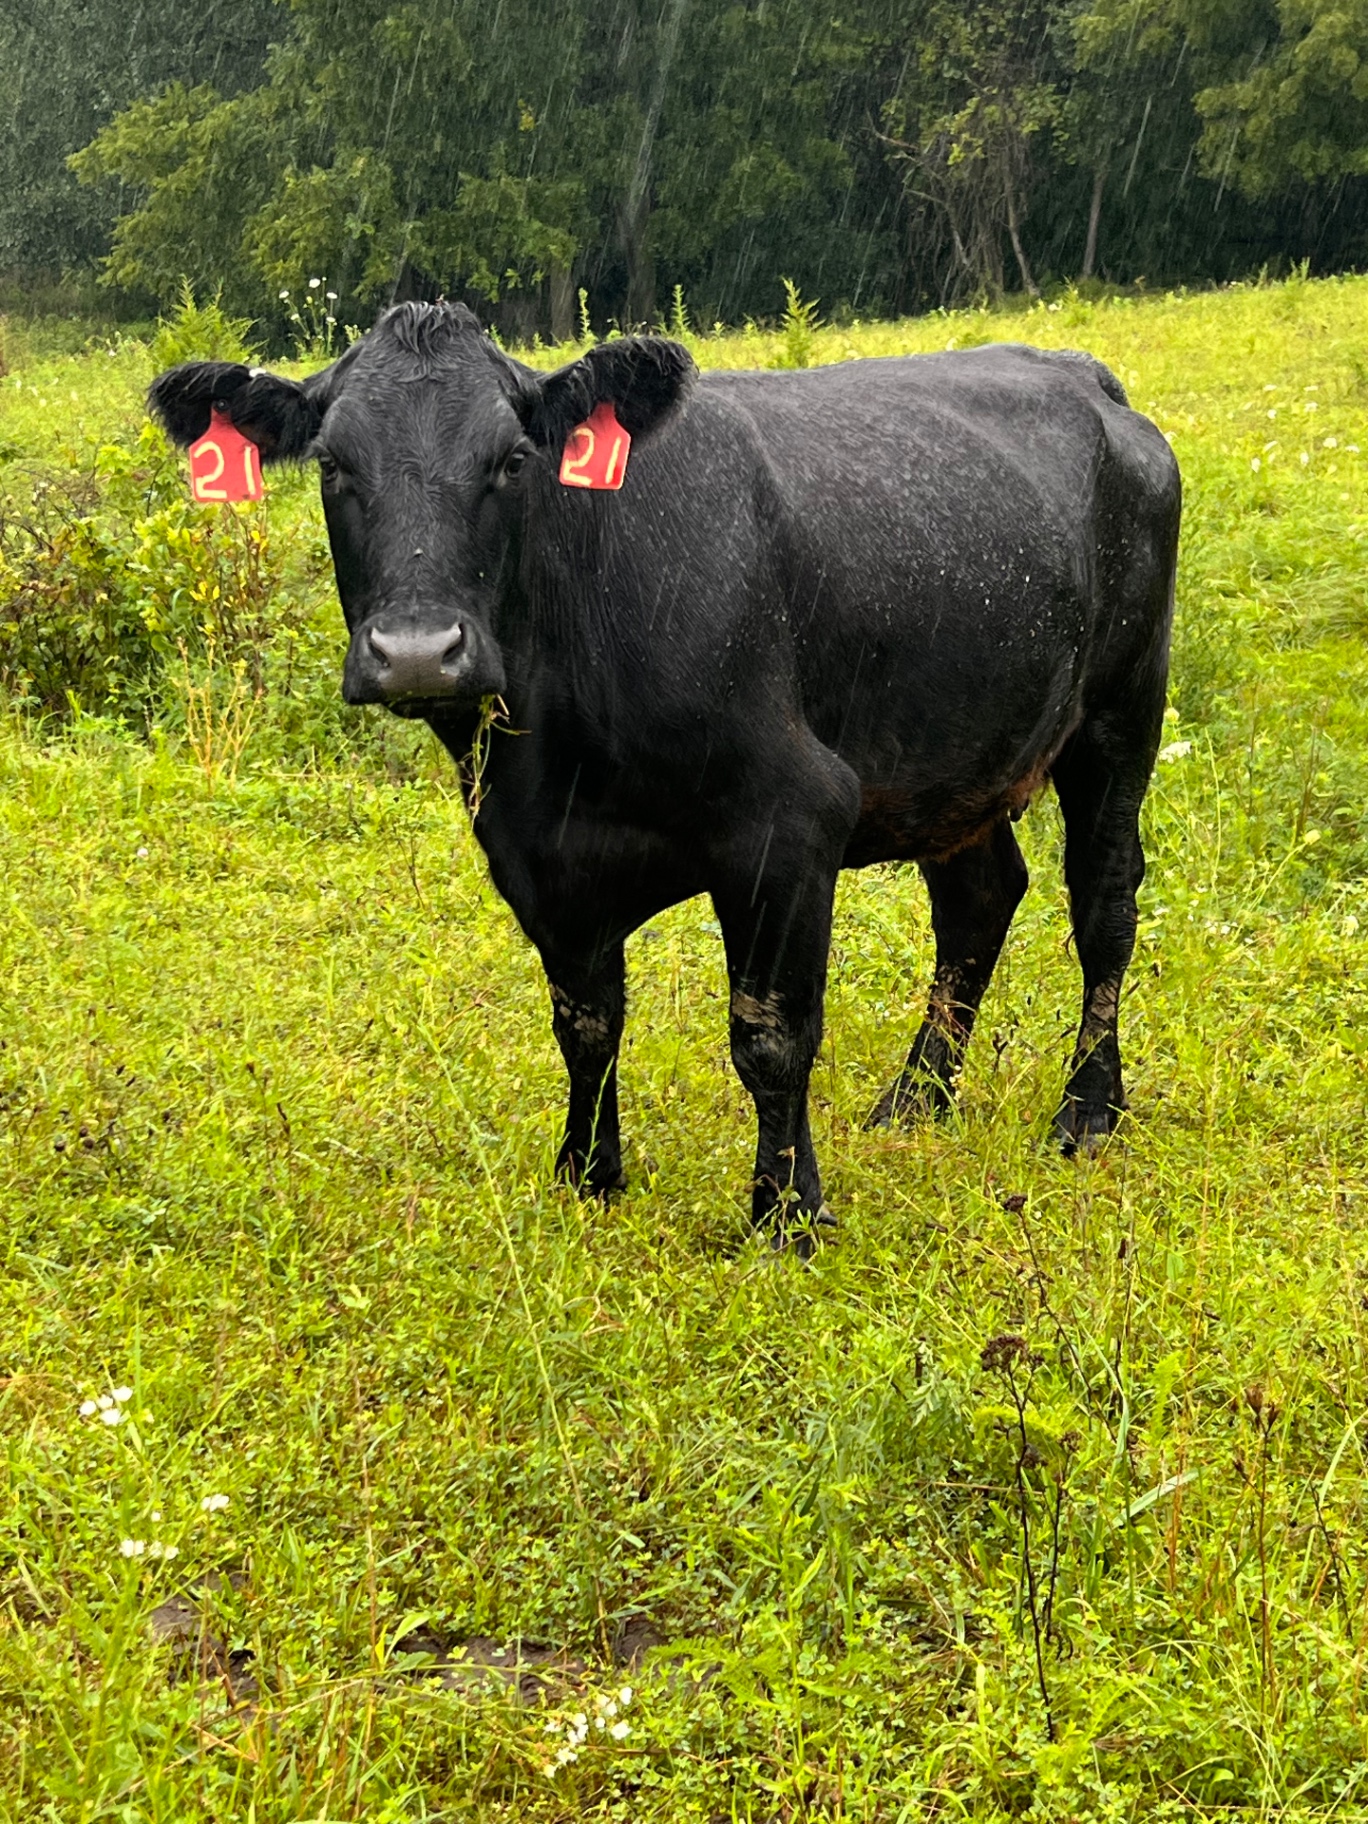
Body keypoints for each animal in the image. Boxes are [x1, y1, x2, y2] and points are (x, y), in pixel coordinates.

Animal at [150, 303, 1181, 1250]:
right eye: (333, 464)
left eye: (512, 460)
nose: (415, 652)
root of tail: (1080, 373)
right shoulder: (535, 852)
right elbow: (585, 1025)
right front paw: (588, 1174)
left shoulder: (791, 820)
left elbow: (771, 1035)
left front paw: (786, 1212)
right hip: (954, 760)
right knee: (980, 897)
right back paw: (917, 1099)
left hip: (1122, 710)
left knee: (1104, 902)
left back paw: (1089, 1109)